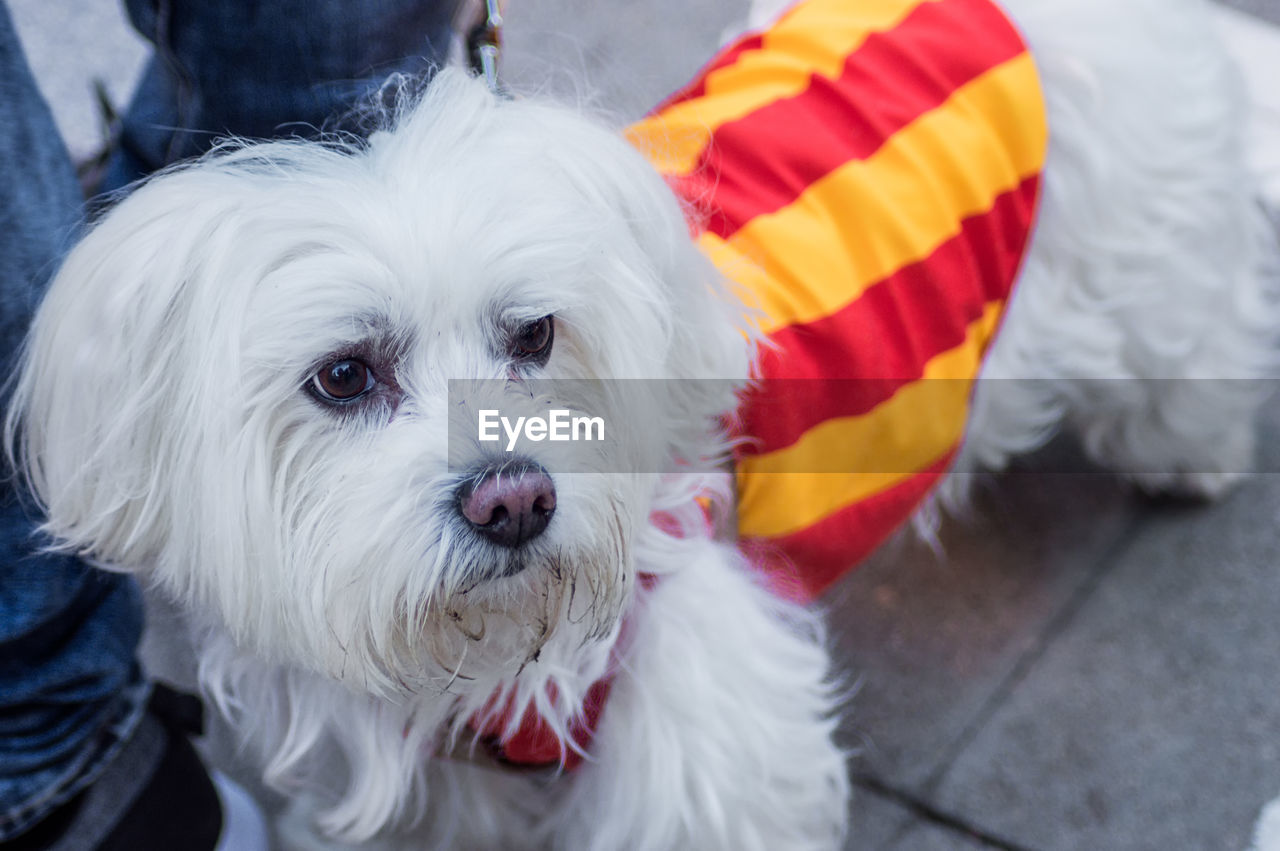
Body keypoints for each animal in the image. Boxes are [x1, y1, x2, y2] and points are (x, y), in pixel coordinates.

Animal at [7, 1, 1269, 849]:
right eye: (345, 375)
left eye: (532, 333)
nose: (514, 498)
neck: (487, 664)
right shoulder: (438, 784)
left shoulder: (699, 751)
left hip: (1143, 269)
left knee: (1195, 340)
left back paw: (1190, 460)